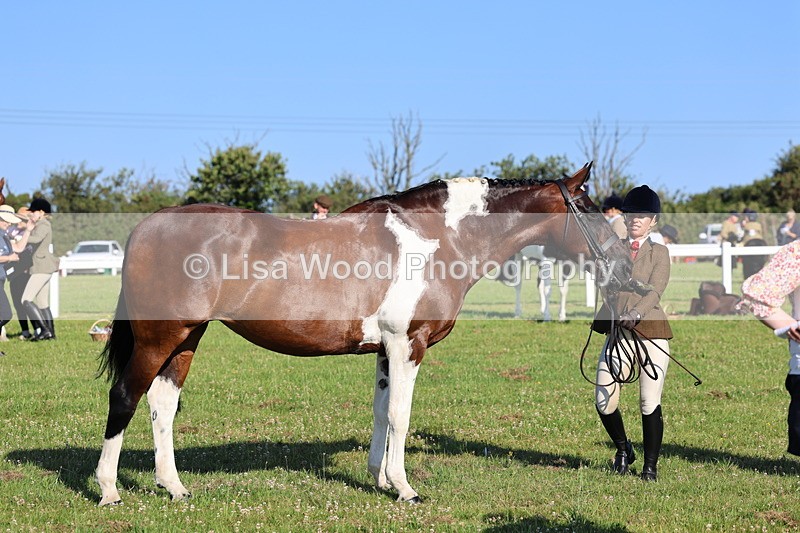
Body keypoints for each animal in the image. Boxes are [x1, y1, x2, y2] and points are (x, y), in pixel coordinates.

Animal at [95, 163, 632, 506]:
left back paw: (174, 487)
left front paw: (379, 479)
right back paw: (109, 490)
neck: (437, 238)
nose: (625, 262)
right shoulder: (408, 344)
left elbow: (380, 411)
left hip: (187, 337)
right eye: (587, 206)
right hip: (159, 337)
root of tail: (145, 228)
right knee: (124, 396)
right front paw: (405, 488)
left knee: (161, 403)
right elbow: (400, 414)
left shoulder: (384, 350)